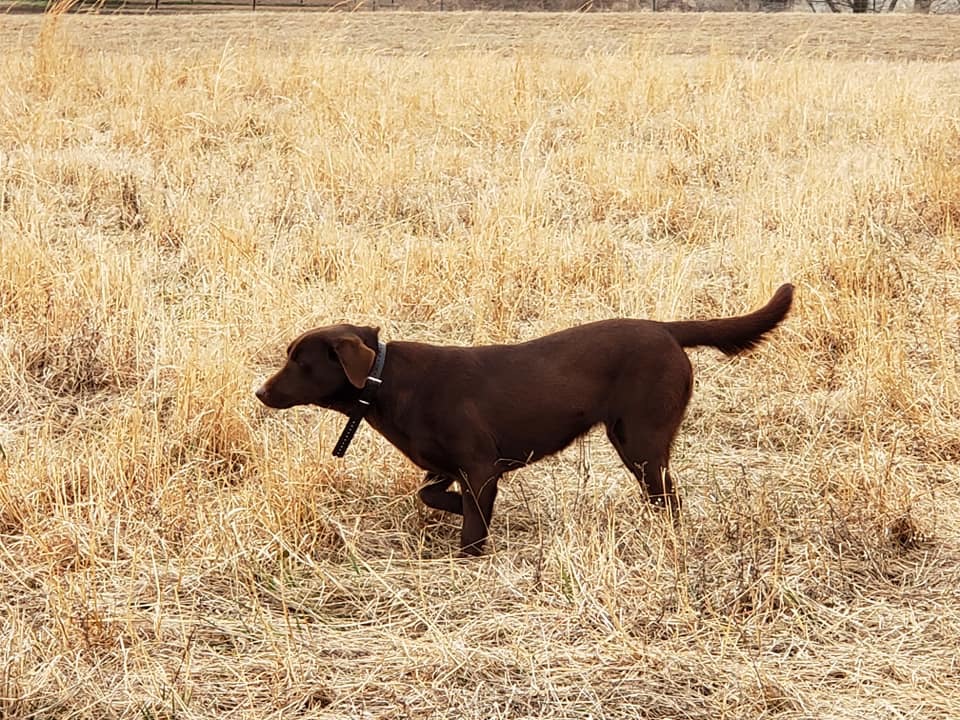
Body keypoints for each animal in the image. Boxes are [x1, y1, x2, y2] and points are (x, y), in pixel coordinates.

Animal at [256, 286, 796, 556]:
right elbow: (432, 494)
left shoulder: (479, 465)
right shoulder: (447, 466)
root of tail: (665, 330)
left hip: (641, 440)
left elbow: (473, 525)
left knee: (669, 498)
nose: (259, 391)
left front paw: (469, 550)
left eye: (299, 362)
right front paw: (456, 508)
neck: (385, 381)